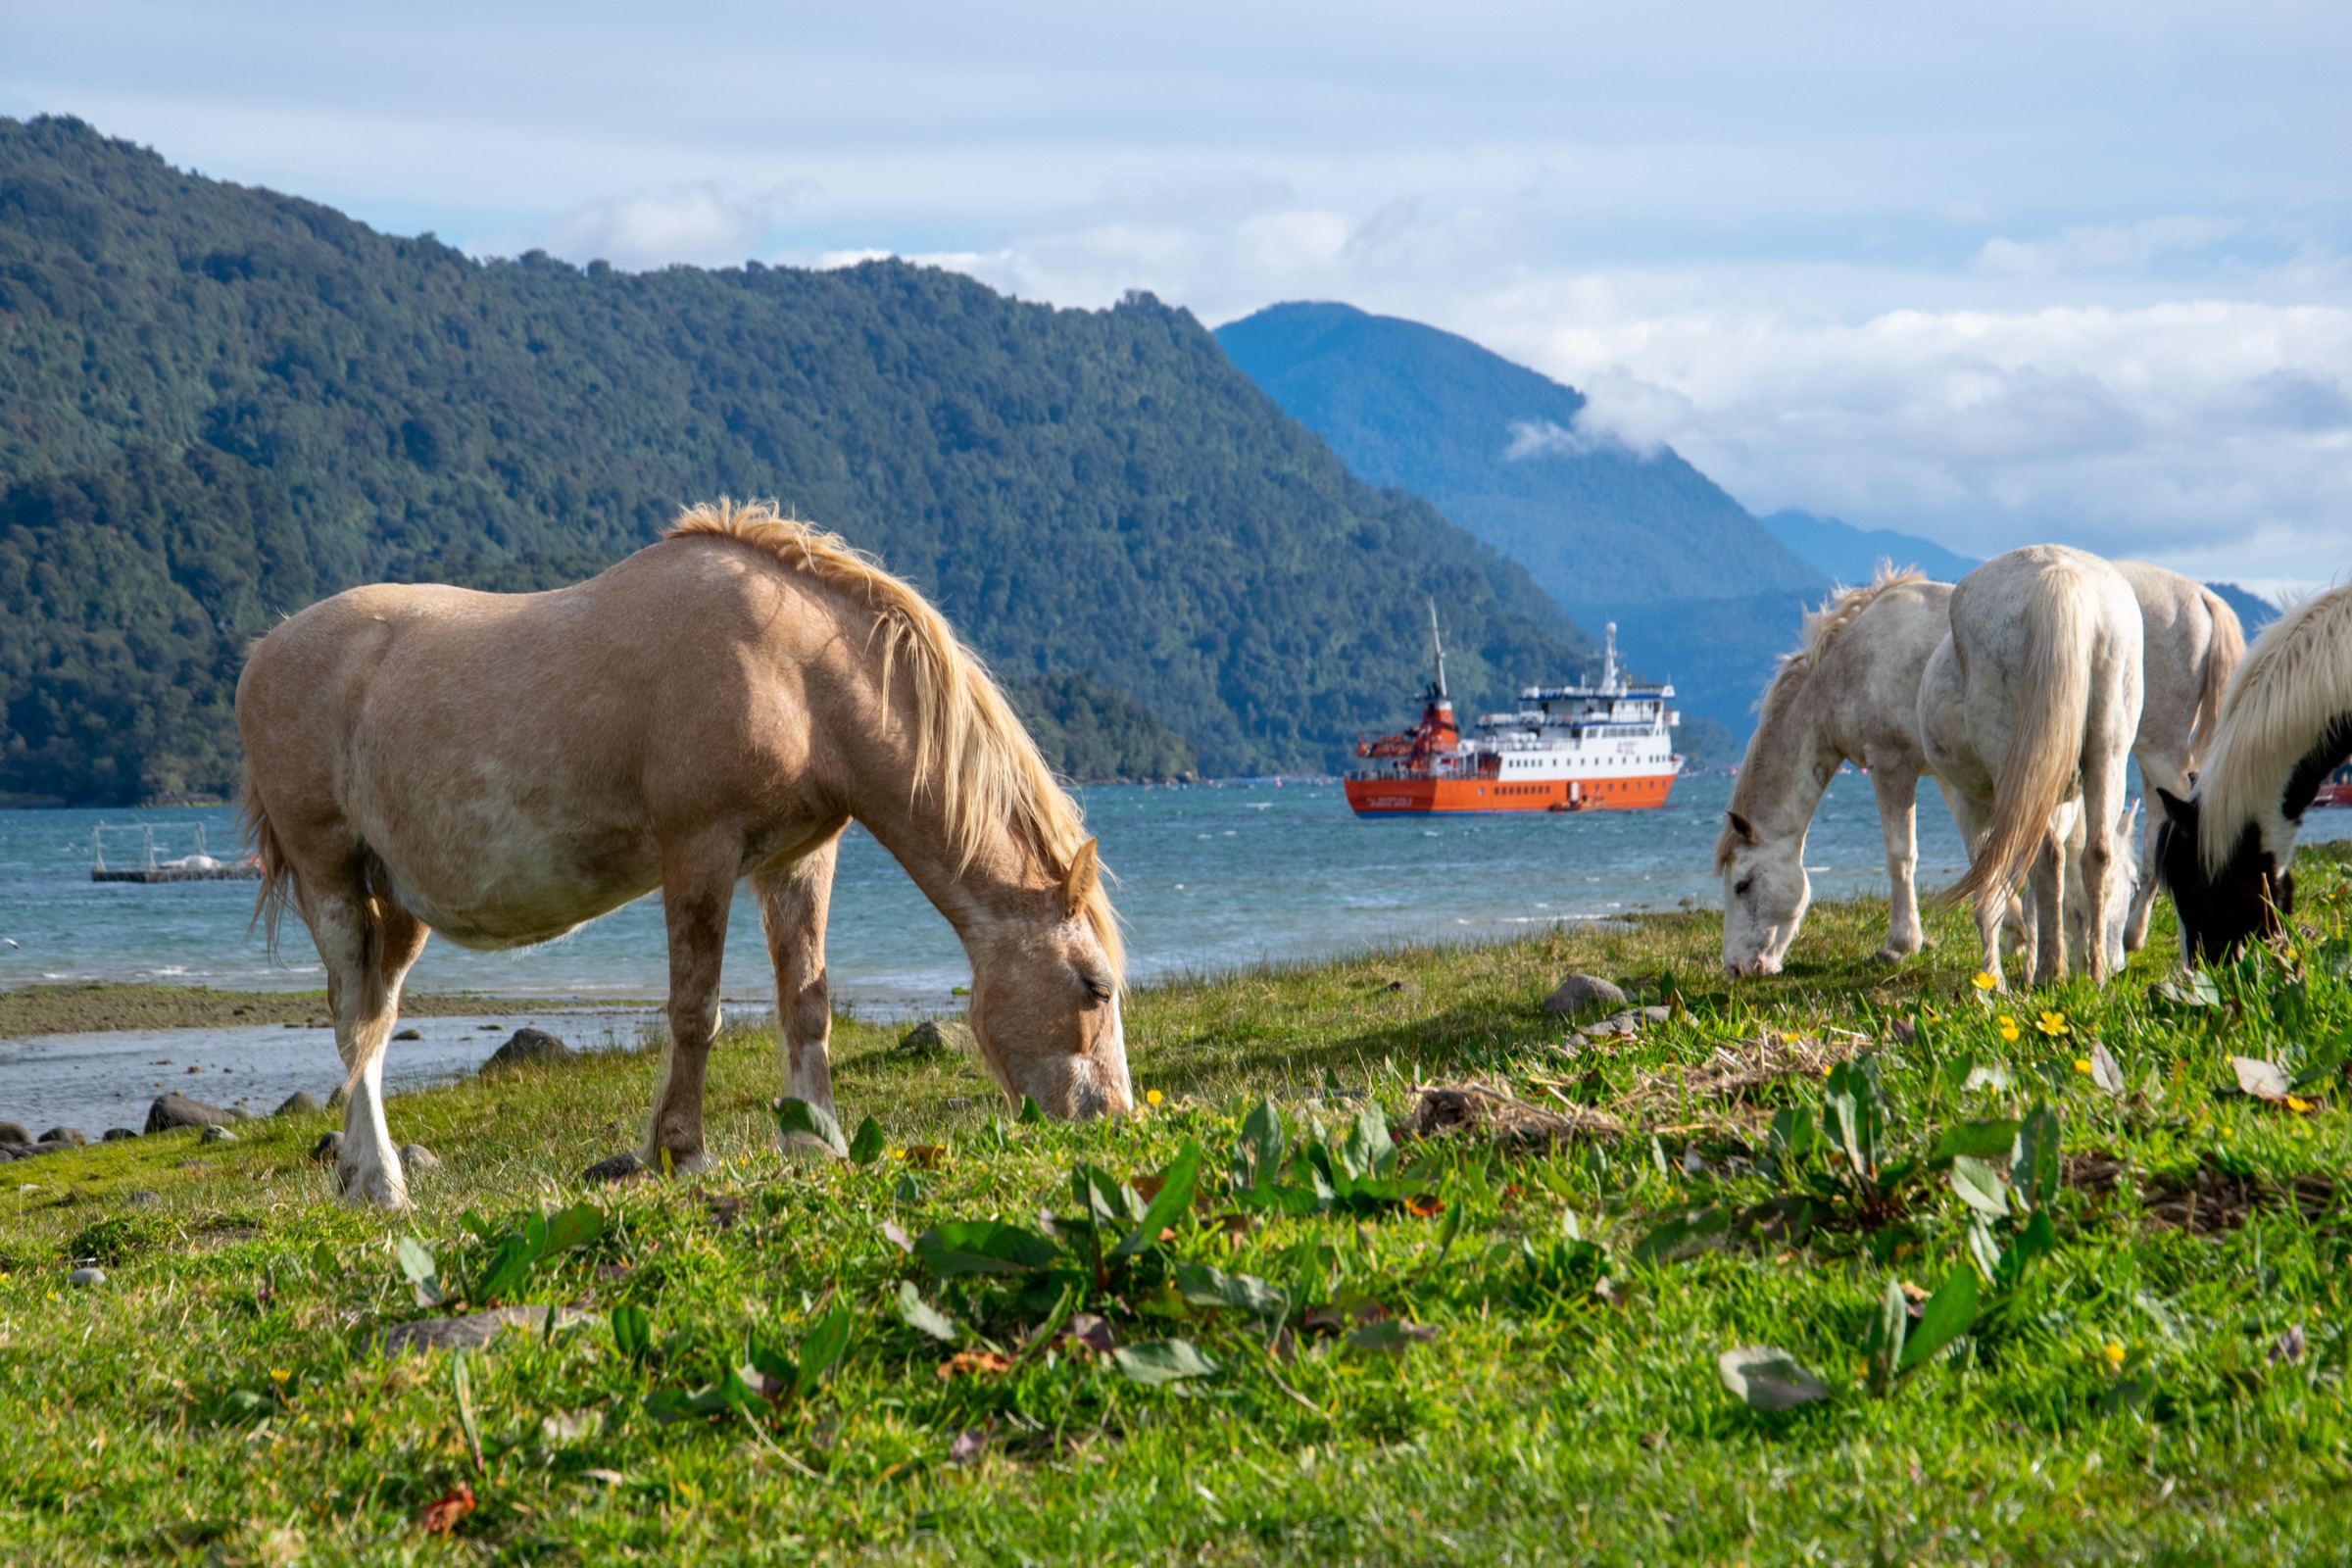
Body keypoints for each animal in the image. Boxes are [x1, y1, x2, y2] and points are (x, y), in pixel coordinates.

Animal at [239, 499, 1131, 1211]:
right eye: (1095, 987)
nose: (1114, 1119)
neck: (795, 673)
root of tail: (261, 654)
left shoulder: (797, 860)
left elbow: (806, 1003)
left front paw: (818, 1143)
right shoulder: (699, 852)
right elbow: (696, 1010)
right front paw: (684, 1151)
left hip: (398, 902)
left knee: (376, 1021)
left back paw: (359, 1175)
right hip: (328, 874)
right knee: (354, 1021)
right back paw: (382, 1184)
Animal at [1918, 545, 2144, 988]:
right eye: (2133, 884)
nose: (2120, 964)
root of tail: (2060, 571)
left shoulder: (1975, 801)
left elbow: (1995, 884)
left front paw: (1995, 981)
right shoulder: (2061, 801)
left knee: (2044, 860)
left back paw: (2048, 974)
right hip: (2108, 754)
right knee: (2096, 853)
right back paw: (2089, 975)